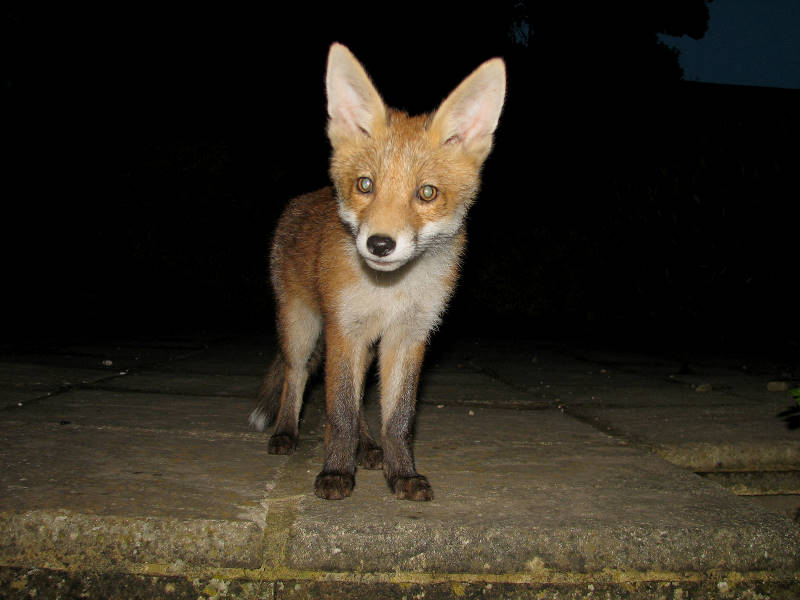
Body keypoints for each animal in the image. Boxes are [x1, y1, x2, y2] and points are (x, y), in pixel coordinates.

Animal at [249, 43, 505, 501]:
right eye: (365, 185)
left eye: (427, 193)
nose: (380, 244)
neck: (391, 291)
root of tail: (304, 199)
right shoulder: (344, 329)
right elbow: (339, 413)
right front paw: (336, 472)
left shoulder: (409, 335)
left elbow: (397, 419)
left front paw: (401, 473)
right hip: (301, 325)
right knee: (297, 376)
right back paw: (286, 433)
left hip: (366, 346)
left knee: (359, 406)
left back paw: (368, 448)